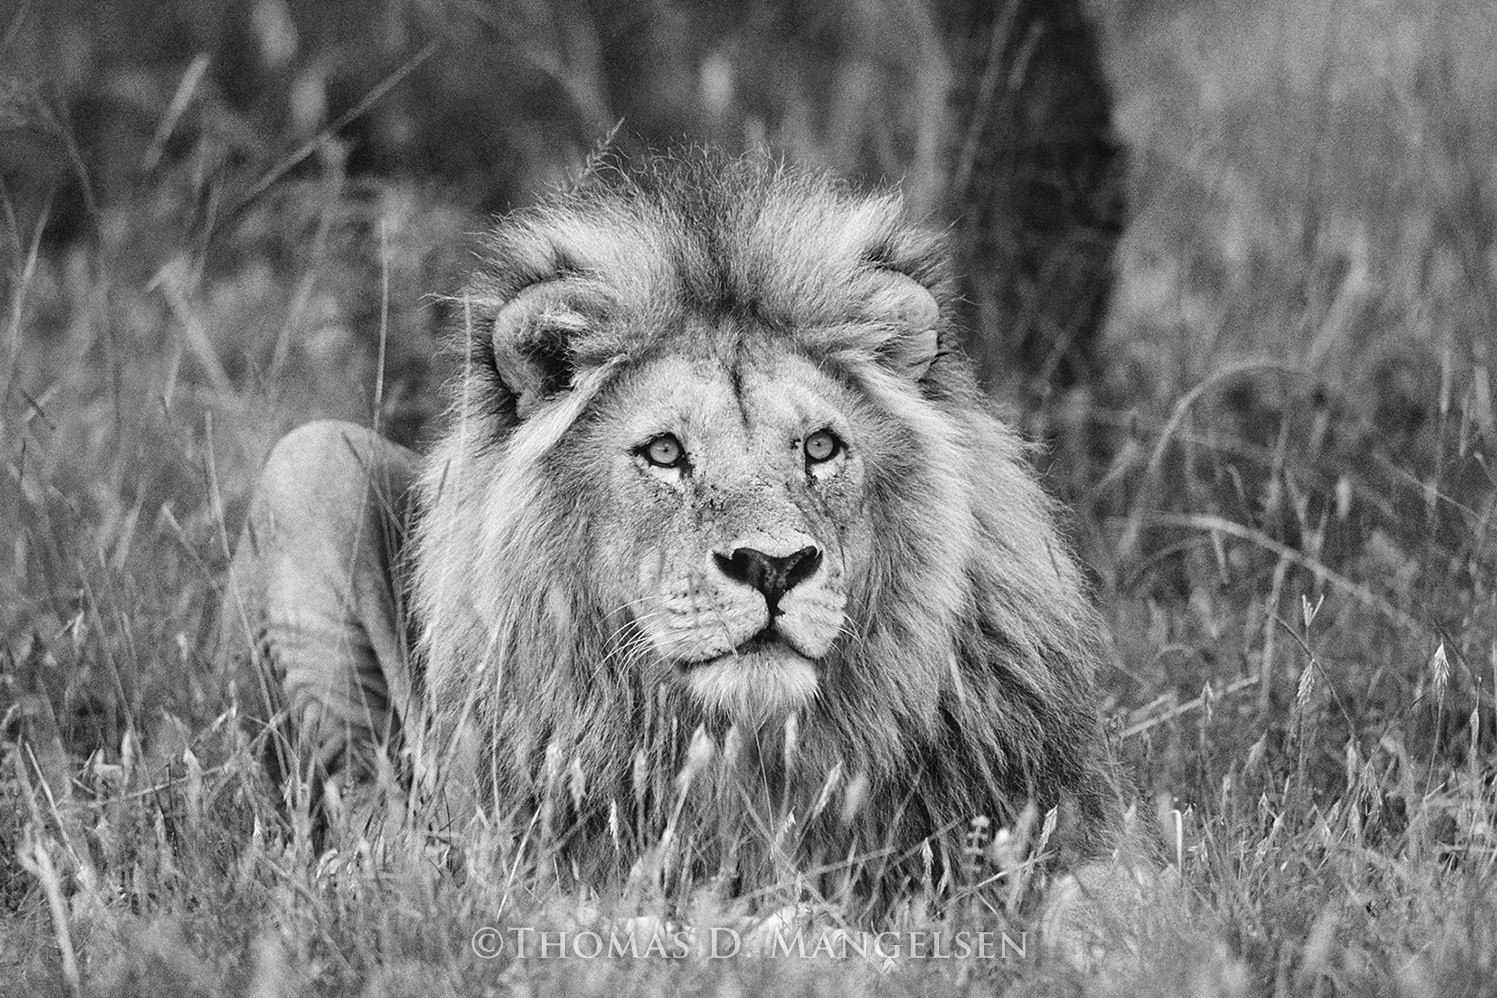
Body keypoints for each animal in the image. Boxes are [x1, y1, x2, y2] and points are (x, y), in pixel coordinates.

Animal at [222, 152, 1127, 922]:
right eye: (664, 453)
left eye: (819, 448)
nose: (774, 567)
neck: (749, 756)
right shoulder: (548, 868)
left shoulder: (1050, 824)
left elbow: (1105, 902)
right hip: (307, 463)